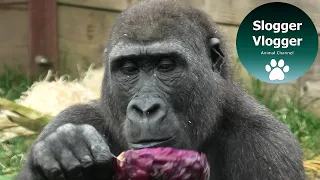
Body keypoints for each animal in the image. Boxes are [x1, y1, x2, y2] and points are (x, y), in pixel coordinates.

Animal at [16, 0, 304, 179]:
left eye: (166, 66)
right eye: (129, 69)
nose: (145, 109)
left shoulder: (269, 145)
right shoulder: (71, 119)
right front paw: (64, 147)